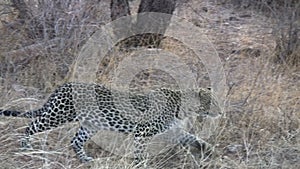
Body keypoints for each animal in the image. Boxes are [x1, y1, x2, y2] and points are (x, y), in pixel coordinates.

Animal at [0, 82, 220, 165]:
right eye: (212, 102)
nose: (222, 112)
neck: (182, 108)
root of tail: (63, 86)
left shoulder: (174, 132)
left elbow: (195, 139)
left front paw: (212, 152)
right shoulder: (142, 132)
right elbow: (139, 152)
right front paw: (140, 164)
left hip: (90, 125)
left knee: (75, 141)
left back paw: (86, 160)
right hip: (58, 115)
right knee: (30, 126)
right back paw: (26, 148)